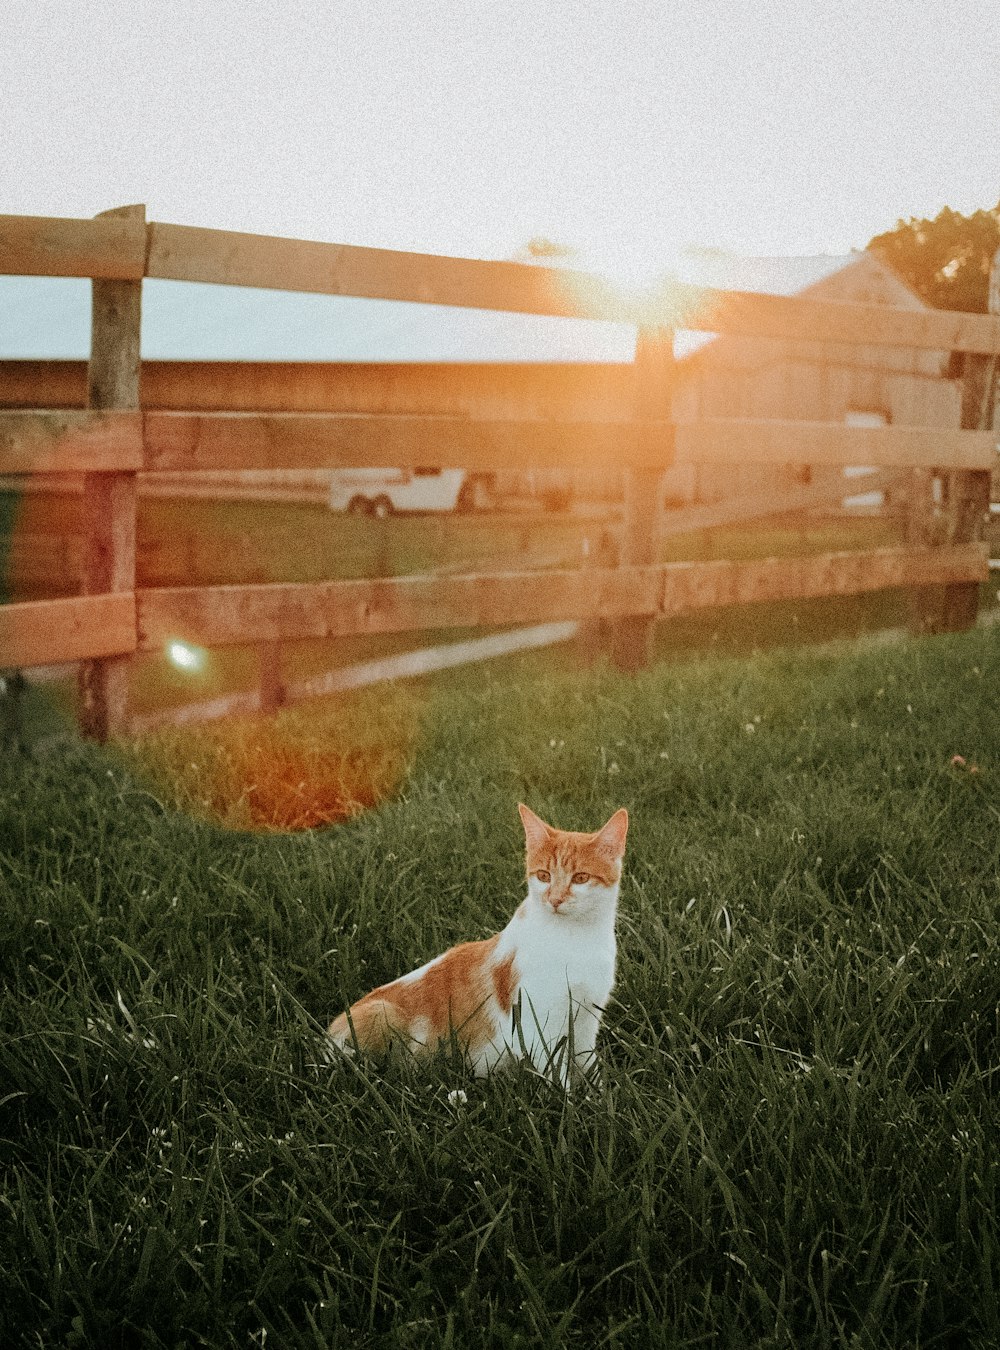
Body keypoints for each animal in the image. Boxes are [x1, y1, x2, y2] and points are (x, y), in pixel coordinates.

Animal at [323, 799, 628, 1085]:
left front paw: (597, 1097)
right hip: (381, 1013)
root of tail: (326, 1039)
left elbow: (588, 1063)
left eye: (581, 878)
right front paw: (569, 1102)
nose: (554, 899)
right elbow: (556, 1074)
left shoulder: (587, 1018)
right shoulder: (537, 1025)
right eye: (544, 876)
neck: (574, 937)